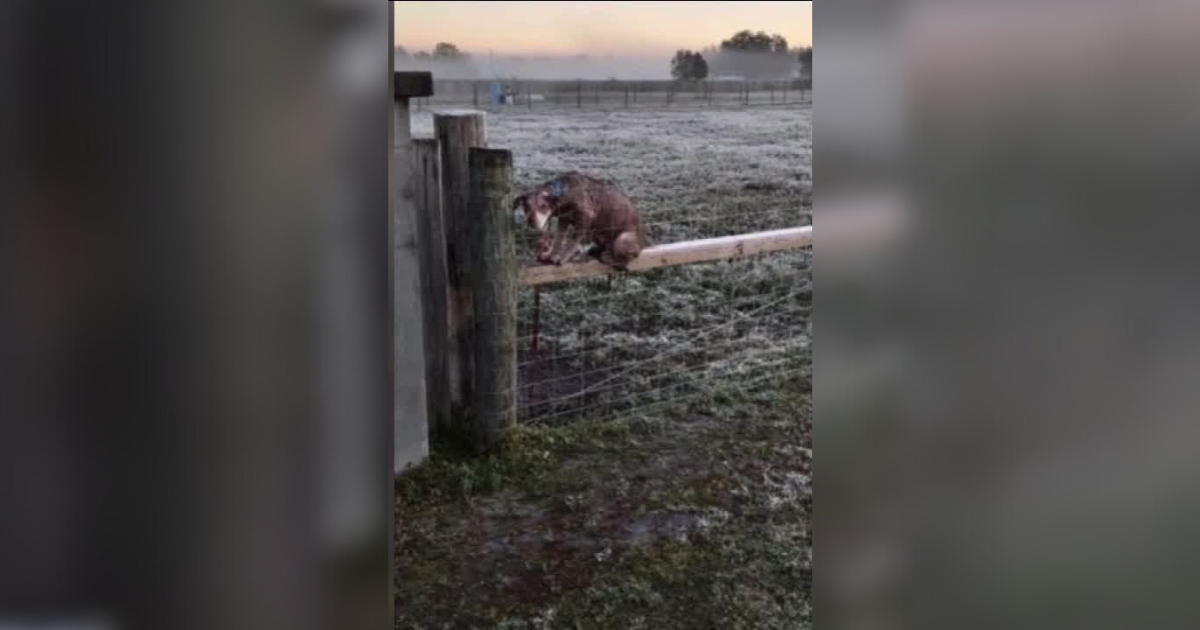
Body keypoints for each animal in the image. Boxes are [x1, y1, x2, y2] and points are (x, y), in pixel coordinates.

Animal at [513, 170, 648, 268]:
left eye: (543, 206)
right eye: (525, 206)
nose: (530, 221)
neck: (564, 192)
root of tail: (642, 245)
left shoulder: (585, 218)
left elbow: (571, 242)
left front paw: (562, 258)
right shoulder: (563, 220)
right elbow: (557, 240)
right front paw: (550, 254)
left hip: (623, 238)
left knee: (624, 261)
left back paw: (608, 257)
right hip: (596, 233)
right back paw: (596, 250)